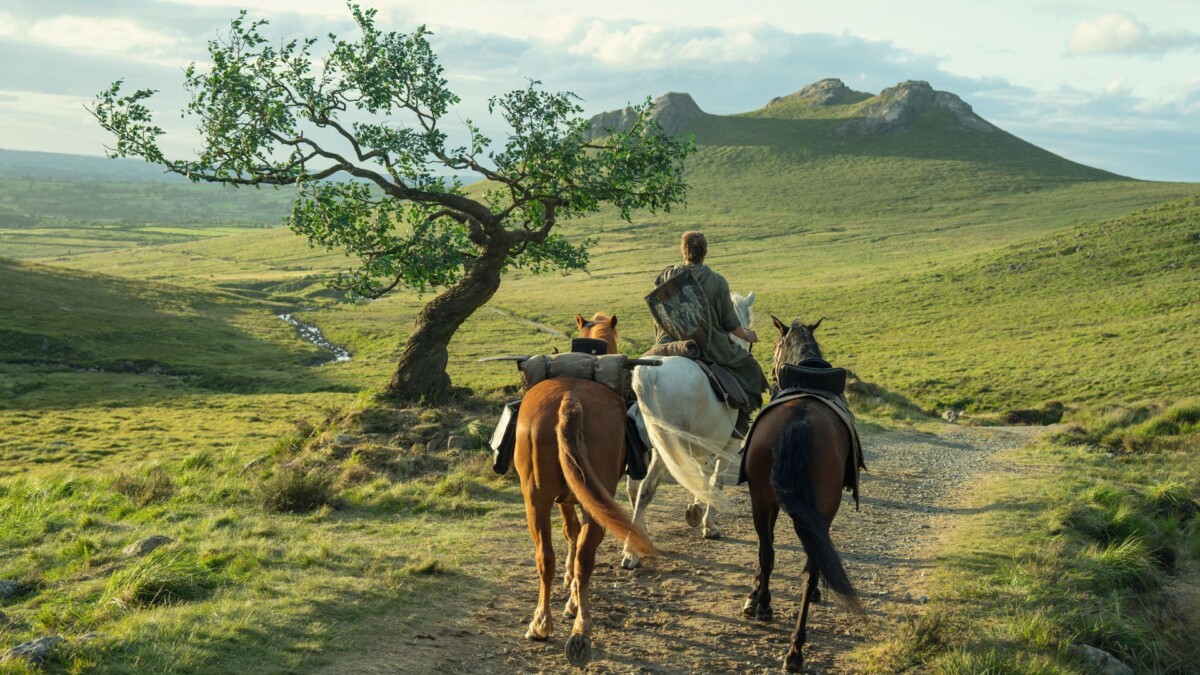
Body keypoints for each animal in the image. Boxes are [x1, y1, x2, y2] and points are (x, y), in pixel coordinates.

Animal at [513, 312, 656, 668]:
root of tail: (570, 400)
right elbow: (574, 534)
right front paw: (573, 596)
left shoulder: (562, 498)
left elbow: (569, 531)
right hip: (594, 502)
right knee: (584, 557)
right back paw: (580, 627)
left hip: (535, 500)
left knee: (545, 557)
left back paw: (541, 623)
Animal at [621, 291, 757, 570]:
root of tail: (648, 373)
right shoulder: (729, 446)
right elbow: (716, 481)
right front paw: (709, 525)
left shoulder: (702, 448)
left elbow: (701, 477)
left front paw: (696, 510)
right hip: (665, 450)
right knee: (646, 489)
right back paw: (631, 552)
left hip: (648, 449)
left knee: (634, 488)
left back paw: (641, 536)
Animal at [741, 316, 862, 672]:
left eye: (775, 346)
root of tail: (800, 420)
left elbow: (766, 552)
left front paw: (755, 597)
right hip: (812, 507)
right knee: (809, 566)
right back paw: (794, 647)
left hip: (762, 498)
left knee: (769, 553)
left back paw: (769, 613)